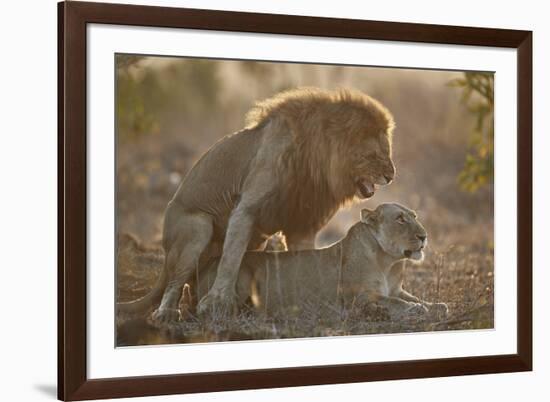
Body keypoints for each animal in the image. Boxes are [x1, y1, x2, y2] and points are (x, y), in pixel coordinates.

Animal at [118, 86, 398, 322]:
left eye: (388, 152)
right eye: (374, 155)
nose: (391, 176)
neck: (316, 159)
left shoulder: (303, 224)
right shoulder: (246, 208)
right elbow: (230, 259)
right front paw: (217, 303)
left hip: (255, 240)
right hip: (197, 227)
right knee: (175, 281)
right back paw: (167, 313)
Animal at [192, 203, 450, 318]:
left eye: (414, 216)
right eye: (400, 219)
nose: (424, 236)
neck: (389, 263)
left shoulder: (397, 289)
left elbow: (415, 298)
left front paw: (437, 305)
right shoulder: (358, 296)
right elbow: (396, 302)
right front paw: (415, 309)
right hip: (242, 273)